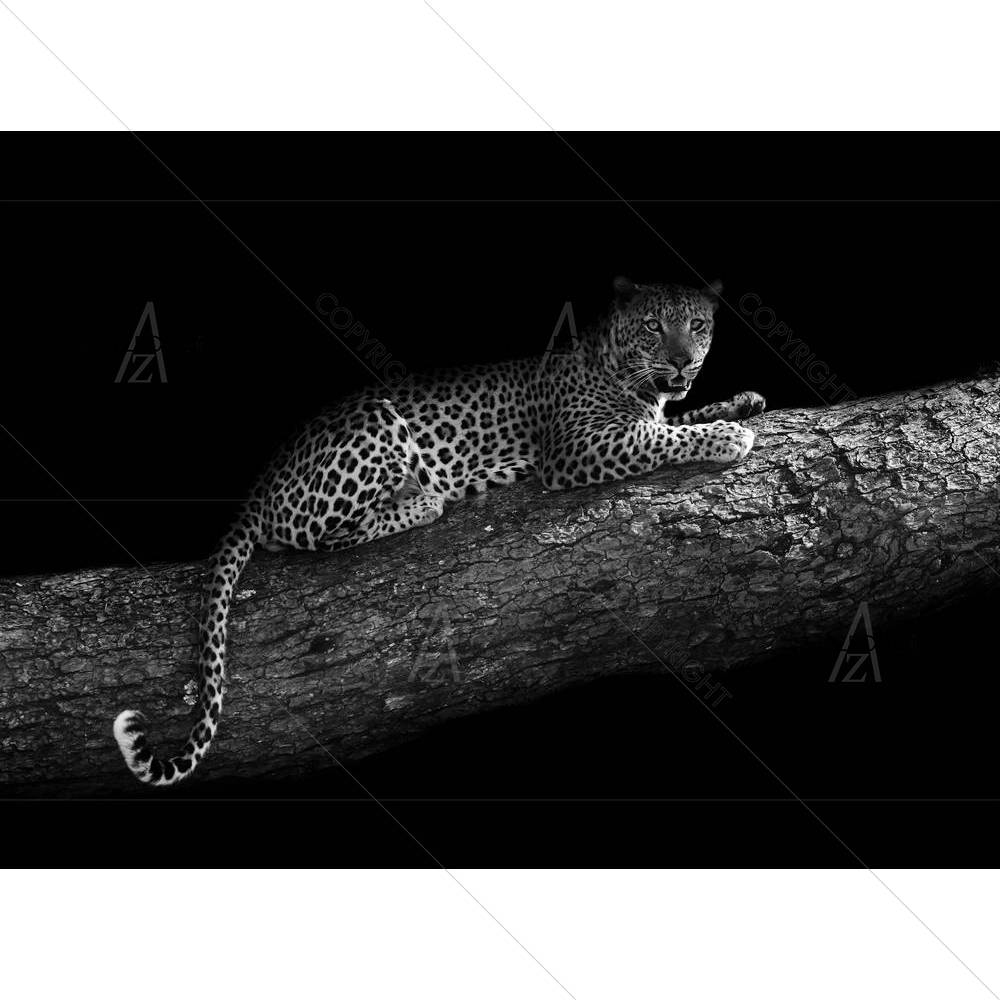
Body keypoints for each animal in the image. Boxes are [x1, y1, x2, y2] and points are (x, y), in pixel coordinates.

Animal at [113, 275, 765, 786]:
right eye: (654, 326)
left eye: (698, 325)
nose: (682, 361)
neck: (624, 367)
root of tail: (255, 489)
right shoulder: (578, 448)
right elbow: (661, 437)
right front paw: (728, 436)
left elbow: (675, 419)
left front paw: (743, 401)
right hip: (375, 425)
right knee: (327, 534)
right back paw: (424, 499)